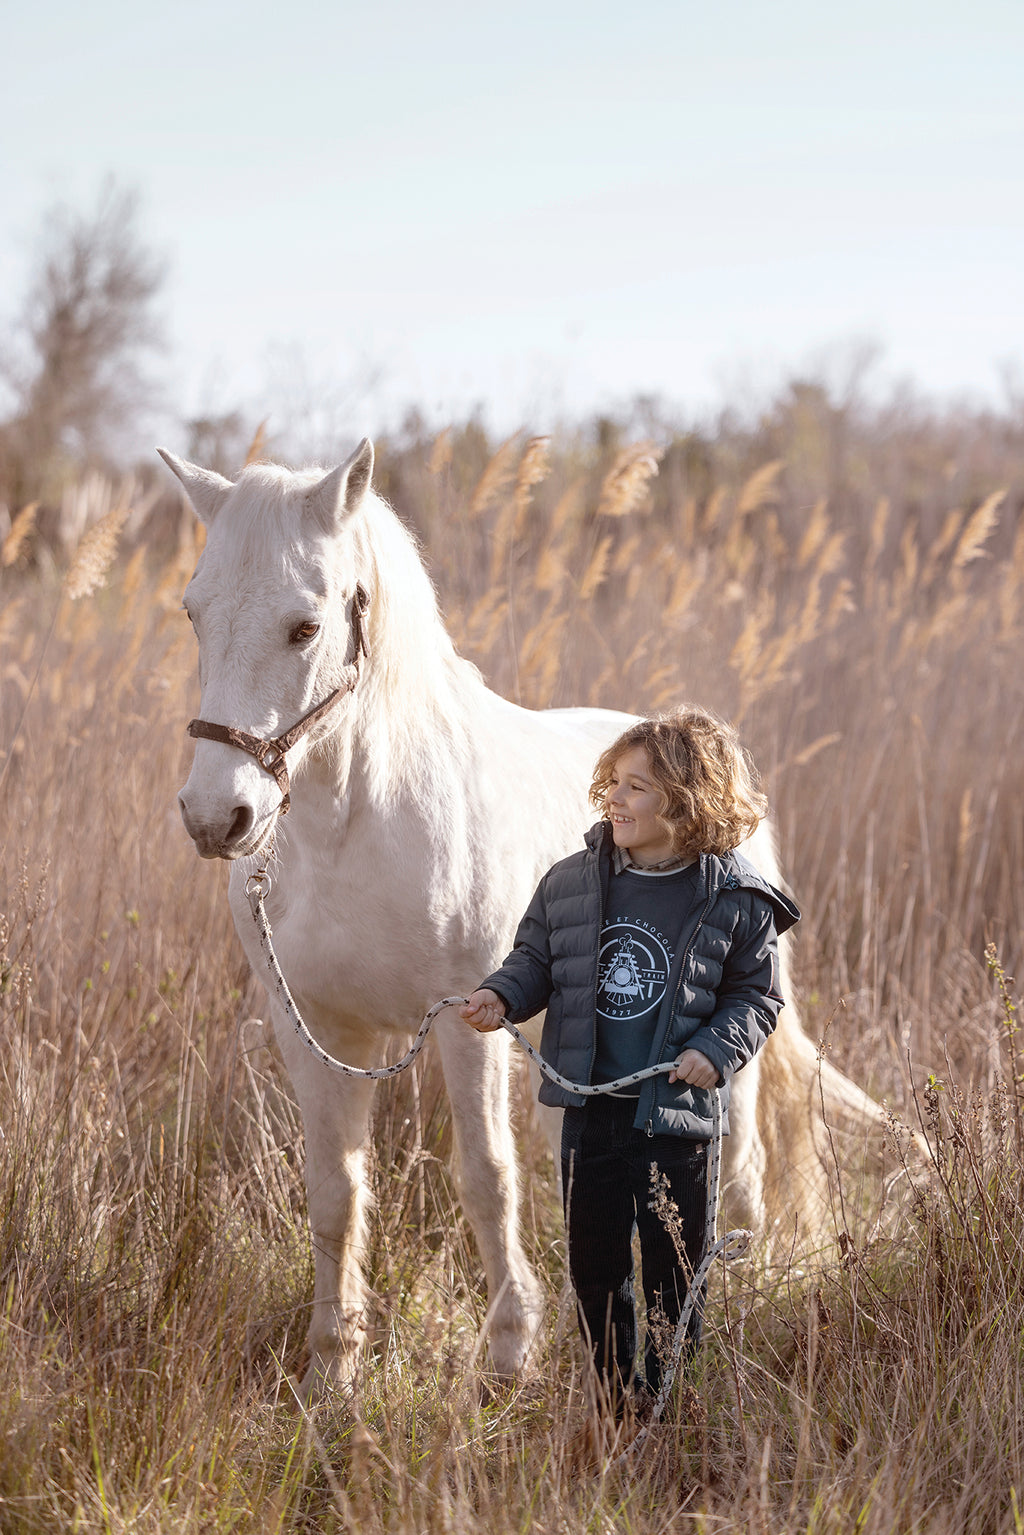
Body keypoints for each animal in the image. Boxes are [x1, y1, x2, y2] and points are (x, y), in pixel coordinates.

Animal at [160, 439, 847, 1399]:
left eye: (303, 626)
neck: (353, 827)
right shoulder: (315, 1033)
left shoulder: (464, 1019)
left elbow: (485, 1177)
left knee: (736, 1171)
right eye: (195, 613)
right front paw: (333, 1368)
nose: (215, 816)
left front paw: (508, 1352)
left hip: (726, 1061)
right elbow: (334, 1190)